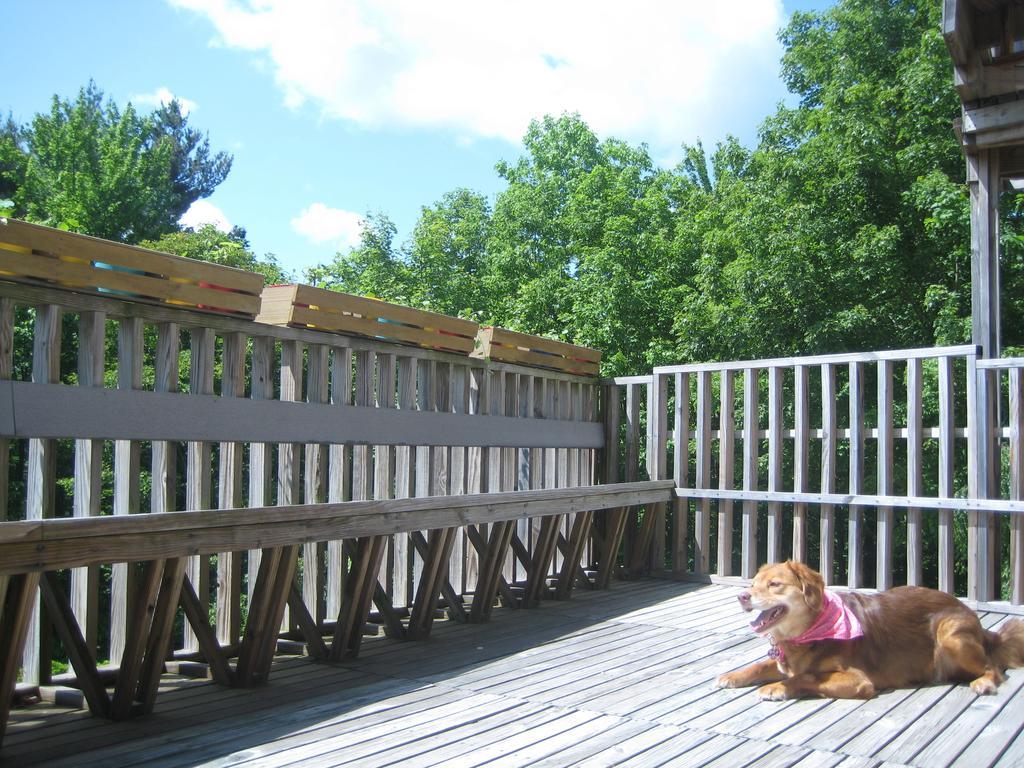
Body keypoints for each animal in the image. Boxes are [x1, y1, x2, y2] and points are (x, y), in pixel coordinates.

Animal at [716, 561, 1024, 700]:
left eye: (775, 585)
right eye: (753, 583)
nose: (742, 597)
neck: (807, 632)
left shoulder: (859, 680)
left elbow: (806, 676)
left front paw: (777, 687)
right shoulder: (783, 660)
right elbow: (761, 665)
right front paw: (733, 676)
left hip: (950, 634)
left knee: (994, 668)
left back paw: (984, 682)